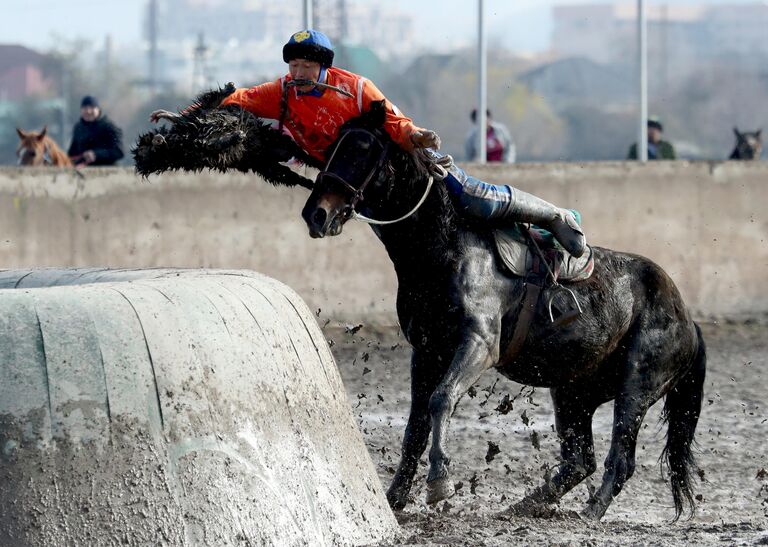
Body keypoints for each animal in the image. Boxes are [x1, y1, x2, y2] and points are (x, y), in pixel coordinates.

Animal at [302, 103, 708, 524]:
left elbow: (442, 399)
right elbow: (415, 427)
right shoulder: (426, 352)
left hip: (636, 386)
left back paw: (590, 512)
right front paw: (395, 498)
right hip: (573, 392)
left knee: (620, 459)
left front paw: (439, 482)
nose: (316, 214)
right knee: (580, 460)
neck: (446, 248)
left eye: (362, 147)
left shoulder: (479, 344)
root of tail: (687, 320)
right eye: (330, 146)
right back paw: (524, 506)